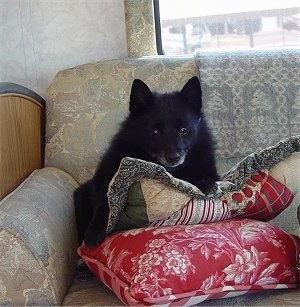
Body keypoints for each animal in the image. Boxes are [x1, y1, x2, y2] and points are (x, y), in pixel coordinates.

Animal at [74, 77, 219, 248]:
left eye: (184, 130)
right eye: (154, 132)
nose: (173, 158)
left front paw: (204, 182)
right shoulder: (105, 182)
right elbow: (105, 203)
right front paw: (94, 232)